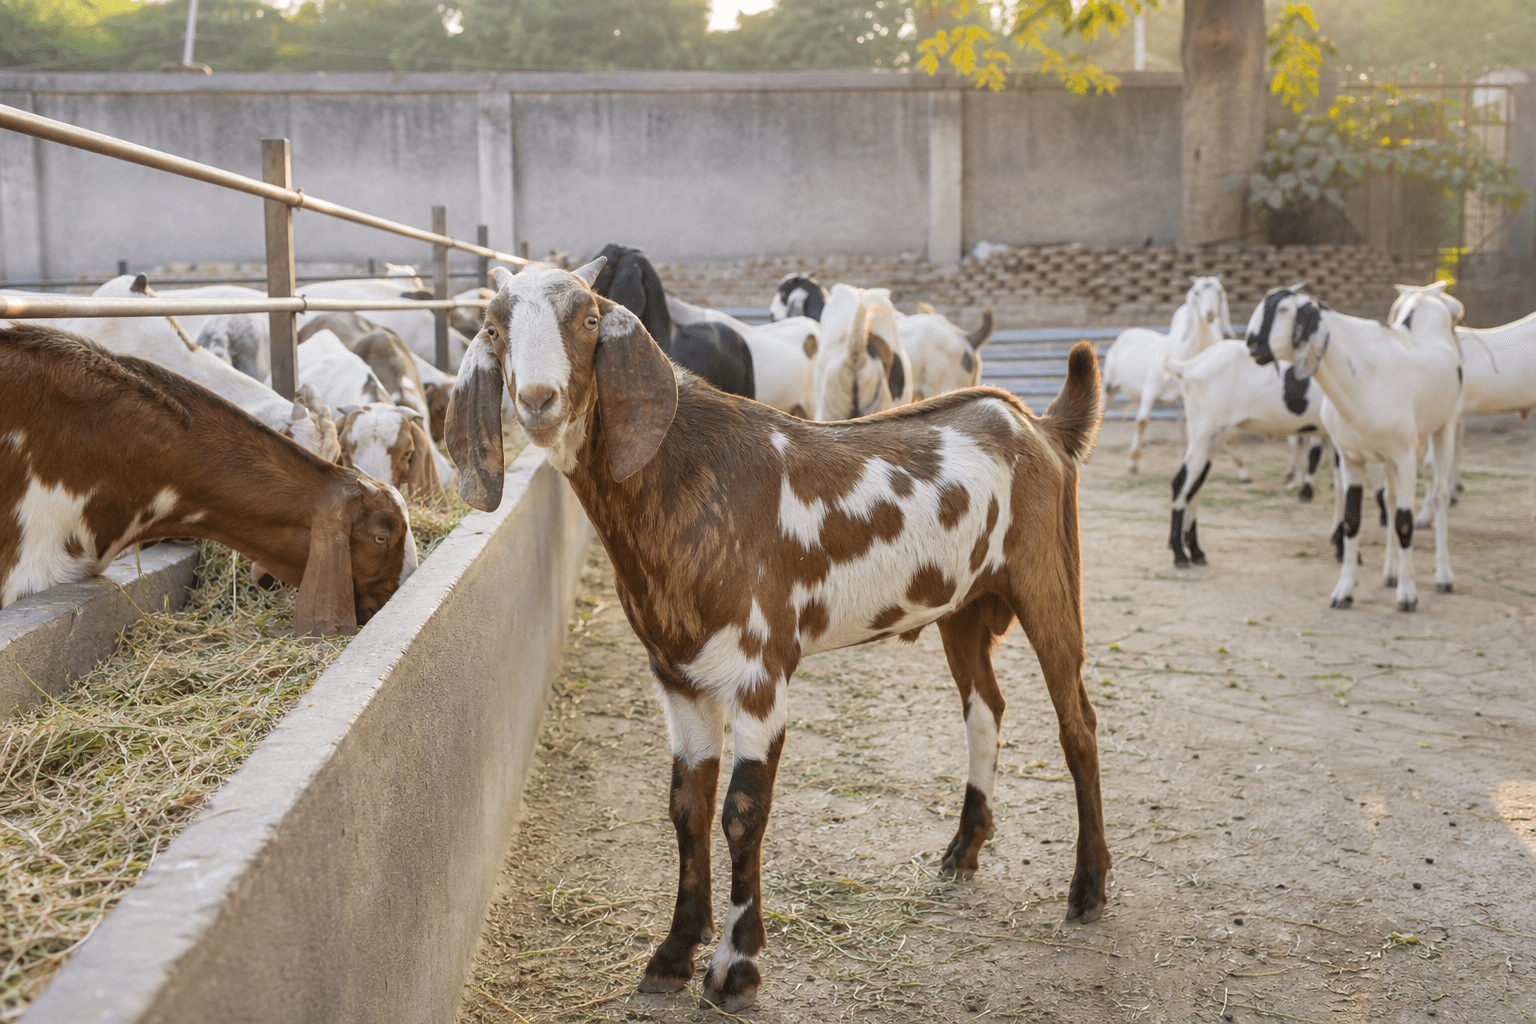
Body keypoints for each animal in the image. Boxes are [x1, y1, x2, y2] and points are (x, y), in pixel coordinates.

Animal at [1102, 276, 1233, 474]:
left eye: (1219, 292)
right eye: (1196, 293)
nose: (1210, 314)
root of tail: (1128, 332)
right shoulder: (1150, 389)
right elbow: (1141, 422)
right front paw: (1132, 463)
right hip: (1109, 384)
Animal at [1162, 341, 1327, 567]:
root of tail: (1190, 367)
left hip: (1214, 438)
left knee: (1194, 487)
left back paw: (1196, 552)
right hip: (1205, 433)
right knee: (1181, 483)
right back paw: (1179, 554)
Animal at [1245, 282, 1463, 611]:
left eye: (1283, 309)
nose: (1251, 343)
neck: (1363, 376)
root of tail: (1426, 297)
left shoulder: (1404, 456)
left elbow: (1404, 522)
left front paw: (1408, 595)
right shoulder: (1352, 458)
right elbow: (1352, 521)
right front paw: (1344, 591)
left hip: (1444, 426)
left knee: (1438, 496)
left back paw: (1444, 576)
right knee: (1390, 500)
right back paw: (1391, 572)